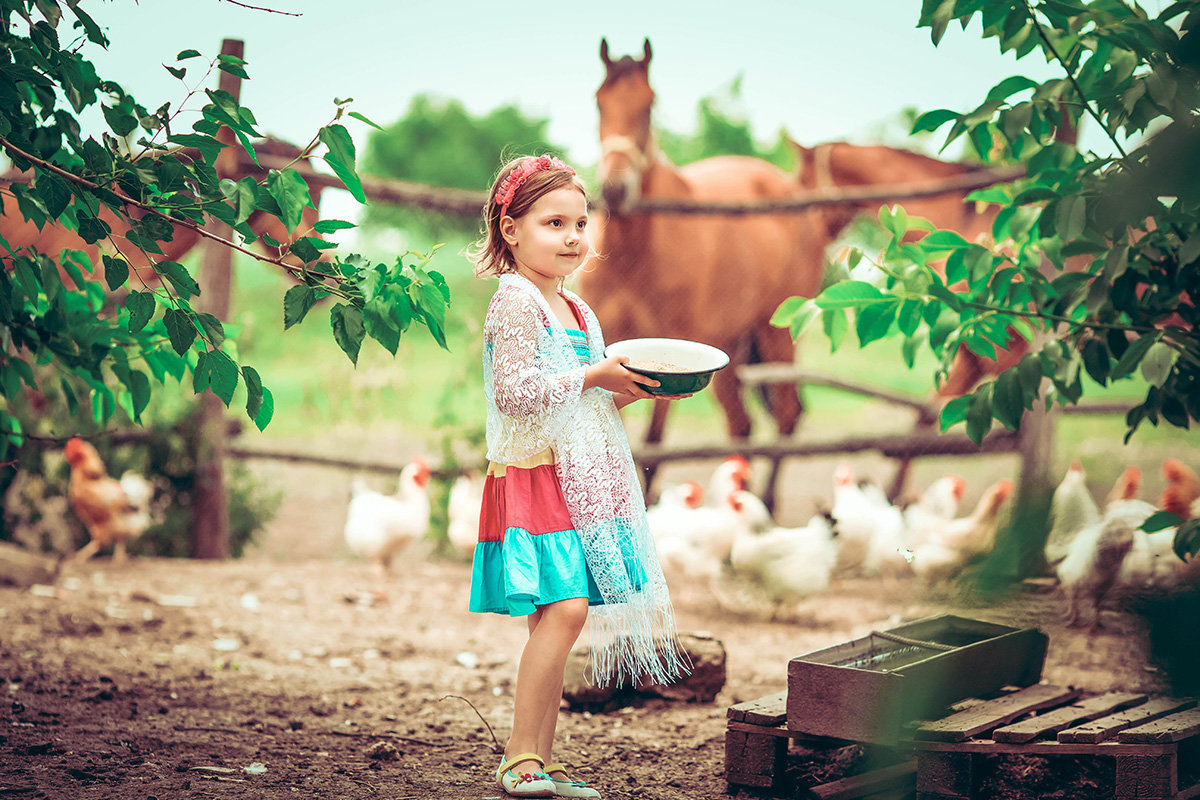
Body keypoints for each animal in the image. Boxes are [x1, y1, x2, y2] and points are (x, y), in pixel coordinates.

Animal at [576, 40, 830, 448]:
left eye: (649, 105)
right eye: (599, 102)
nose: (616, 189)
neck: (634, 257)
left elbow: (654, 440)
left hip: (778, 335)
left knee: (787, 414)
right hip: (734, 345)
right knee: (741, 425)